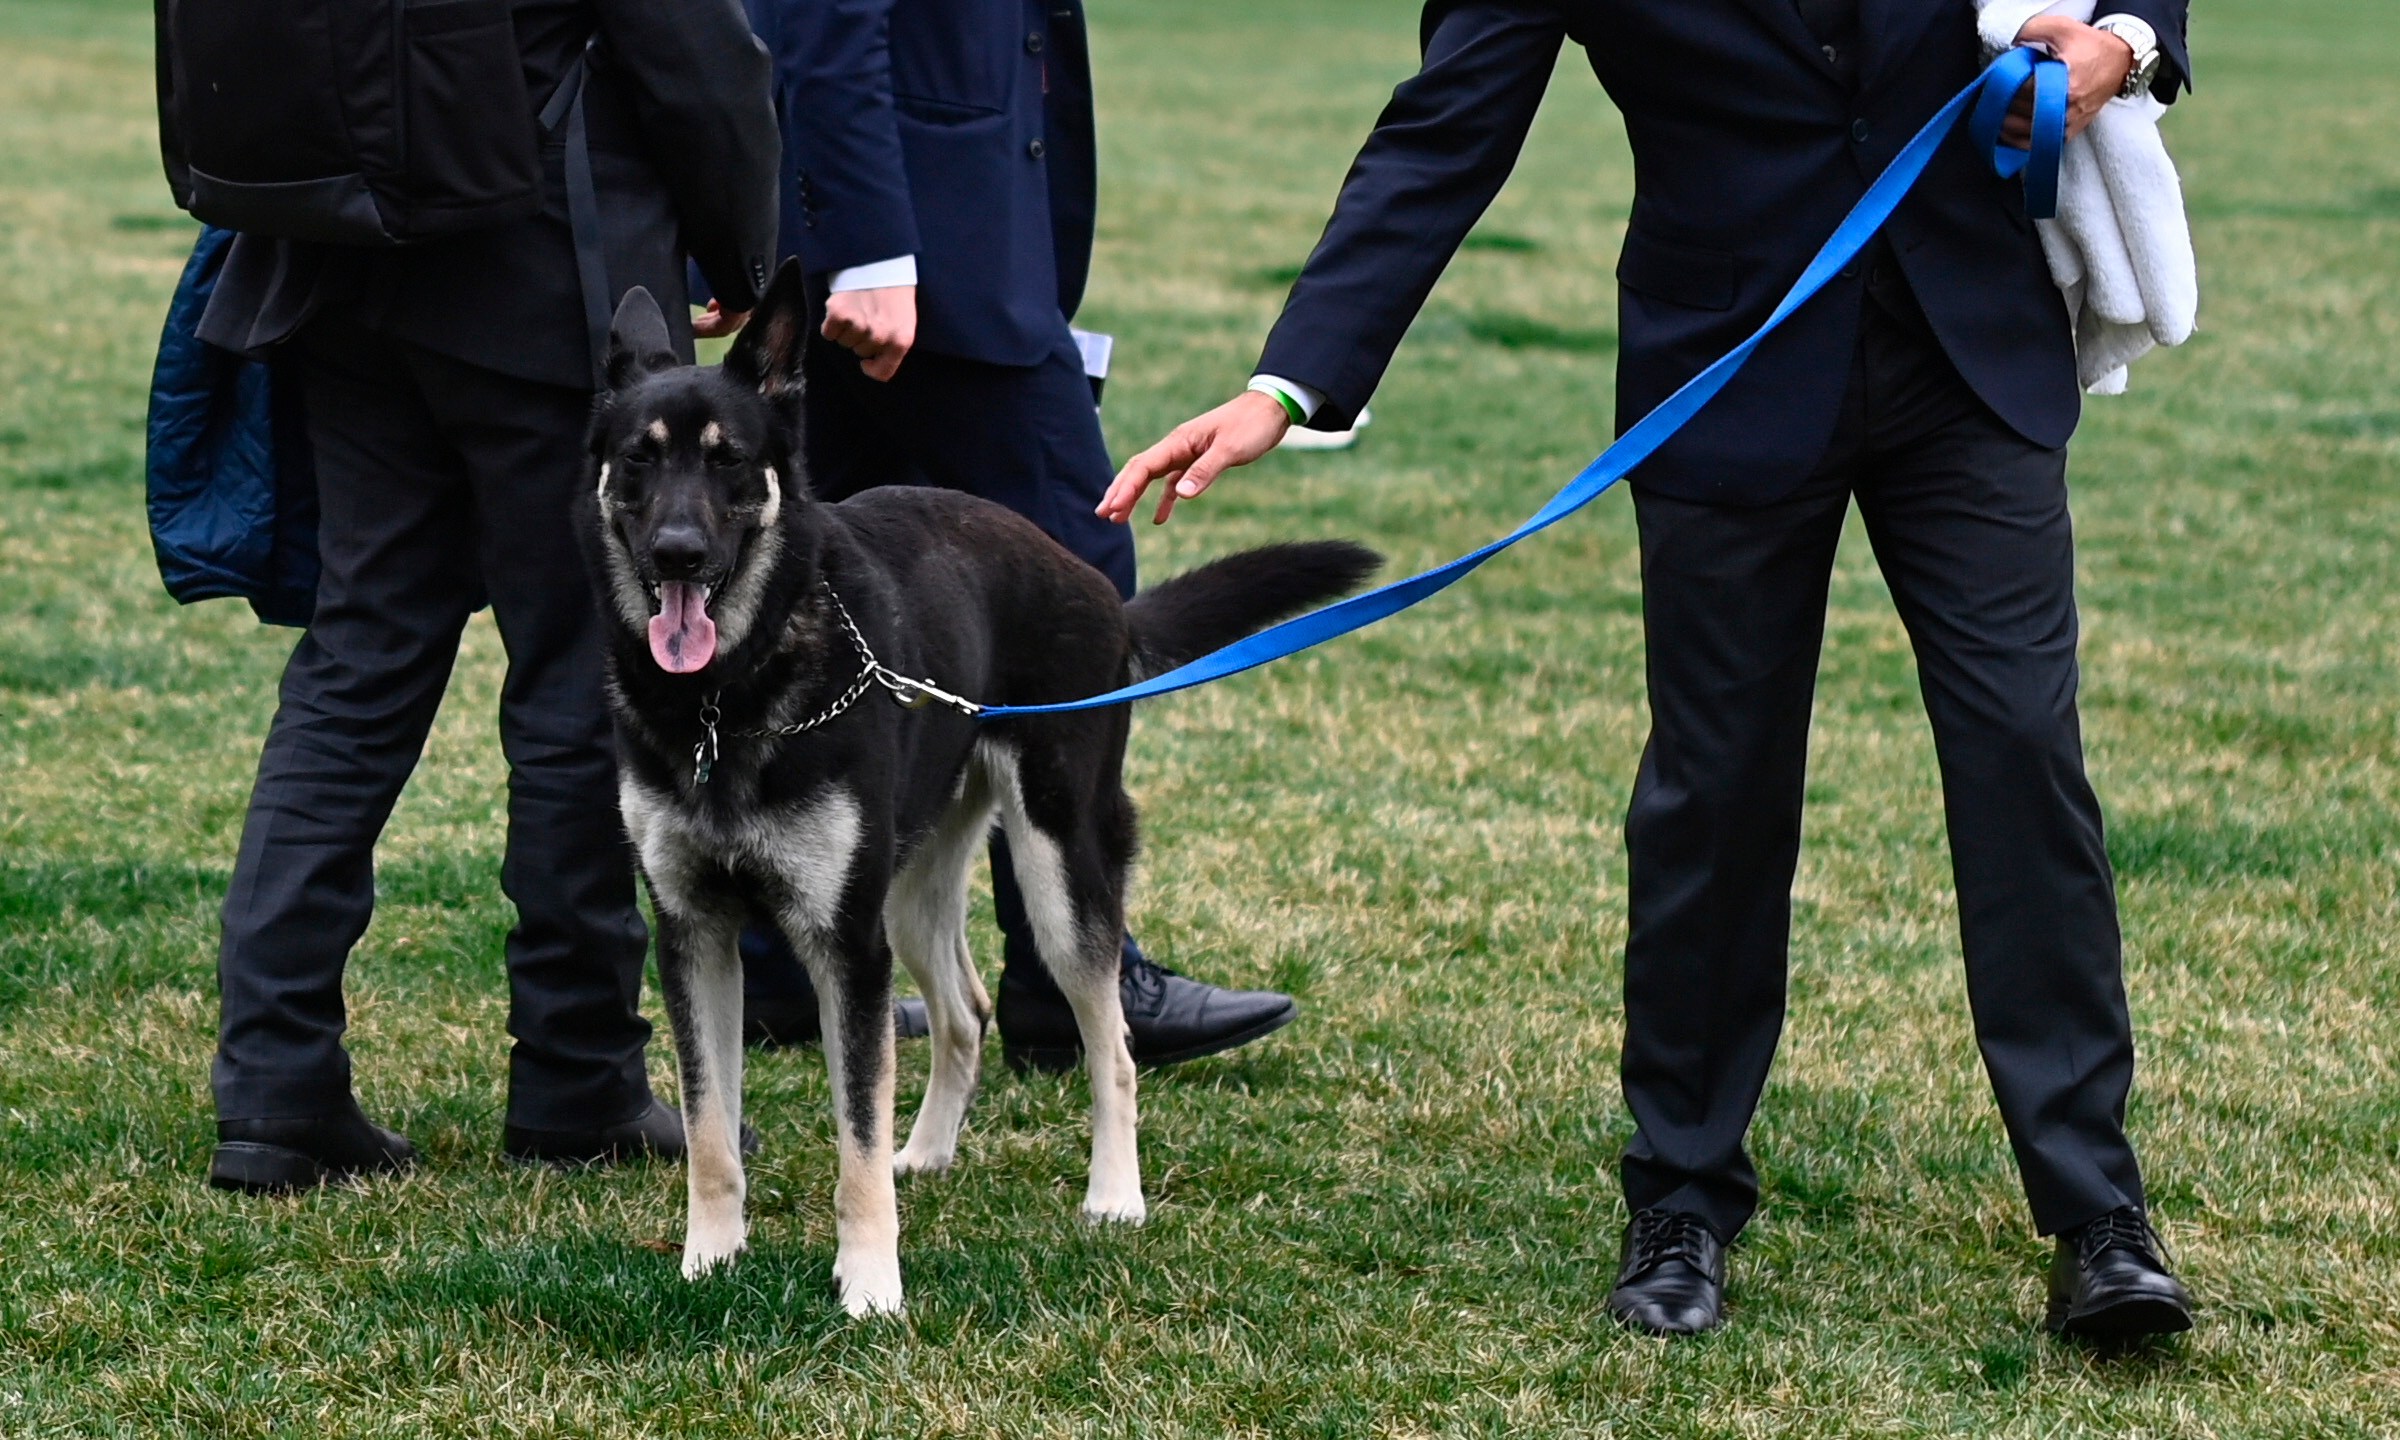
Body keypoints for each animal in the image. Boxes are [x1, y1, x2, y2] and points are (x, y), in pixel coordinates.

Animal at [571, 264, 1382, 1324]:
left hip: (1055, 872)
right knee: (966, 1012)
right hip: (911, 891)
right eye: (640, 458)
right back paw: (928, 1153)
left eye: (728, 461)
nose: (675, 553)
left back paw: (1114, 1196)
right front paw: (710, 1261)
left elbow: (854, 1135)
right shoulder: (695, 933)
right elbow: (714, 1131)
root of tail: (1097, 589)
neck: (729, 697)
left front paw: (870, 1287)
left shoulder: (845, 946)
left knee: (1111, 1043)